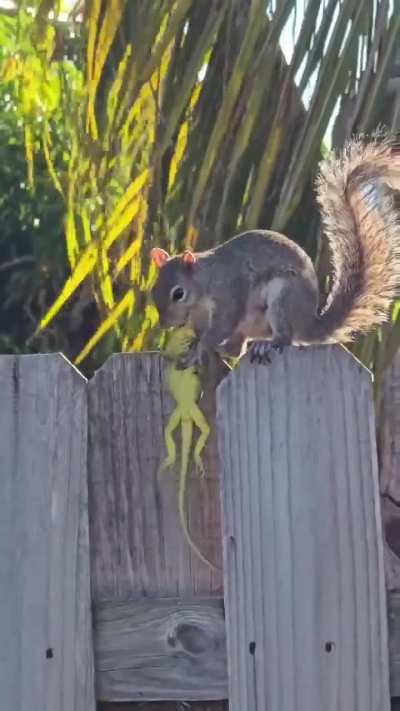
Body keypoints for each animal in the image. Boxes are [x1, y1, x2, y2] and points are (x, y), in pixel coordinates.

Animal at [150, 135, 400, 367]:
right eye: (153, 291)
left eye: (178, 293)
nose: (164, 324)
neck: (203, 284)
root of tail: (309, 324)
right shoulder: (201, 317)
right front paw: (194, 344)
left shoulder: (230, 292)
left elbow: (222, 325)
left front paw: (200, 349)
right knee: (237, 349)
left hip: (282, 299)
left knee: (284, 338)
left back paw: (267, 344)